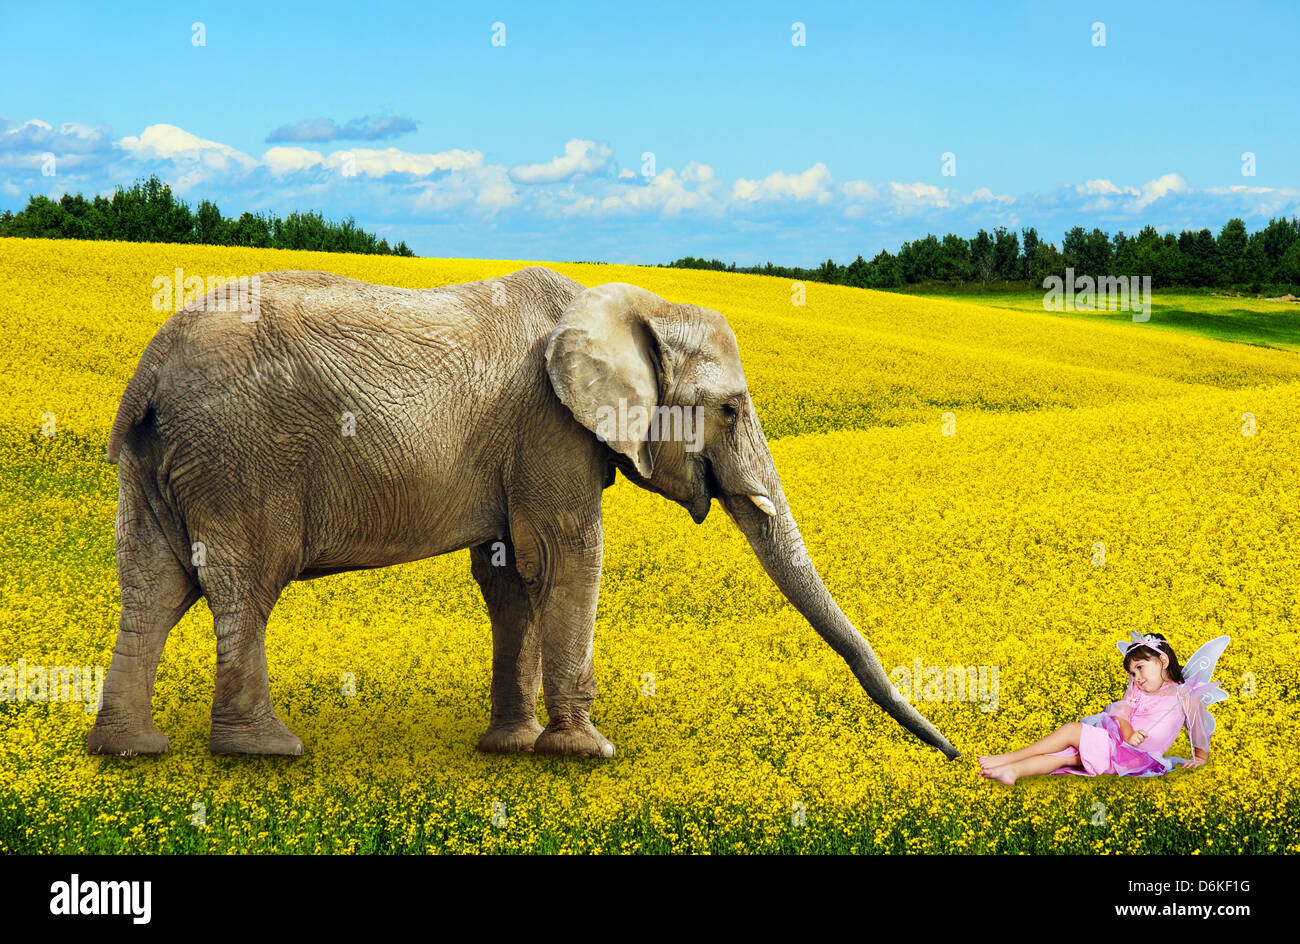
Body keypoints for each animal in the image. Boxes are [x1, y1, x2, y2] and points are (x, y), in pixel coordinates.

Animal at [86, 263, 961, 759]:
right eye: (731, 410)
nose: (954, 757)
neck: (631, 304)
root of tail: (150, 367)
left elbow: (509, 576)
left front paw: (510, 749)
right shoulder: (548, 426)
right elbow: (566, 555)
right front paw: (587, 754)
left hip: (160, 461)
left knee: (153, 587)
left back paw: (131, 754)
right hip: (241, 454)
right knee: (245, 582)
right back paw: (266, 753)